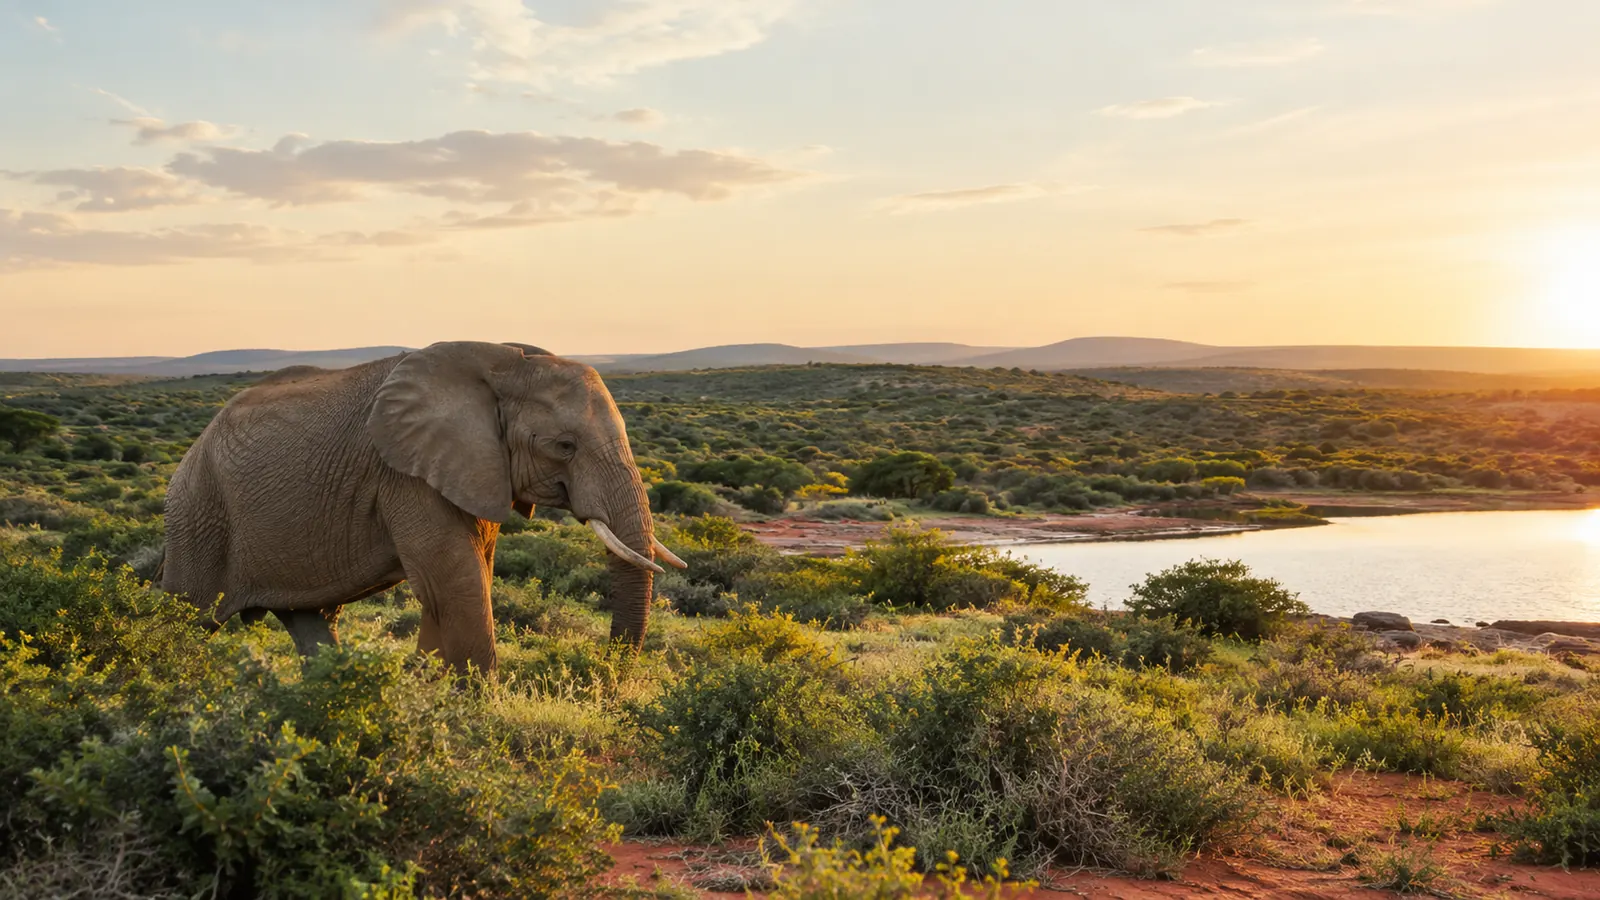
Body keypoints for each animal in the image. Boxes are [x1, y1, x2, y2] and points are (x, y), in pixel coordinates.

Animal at [160, 340, 685, 673]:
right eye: (565, 446)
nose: (604, 679)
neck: (507, 362)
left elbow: (461, 582)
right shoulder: (407, 476)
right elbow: (454, 583)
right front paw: (476, 718)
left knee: (308, 620)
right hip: (198, 511)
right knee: (185, 619)